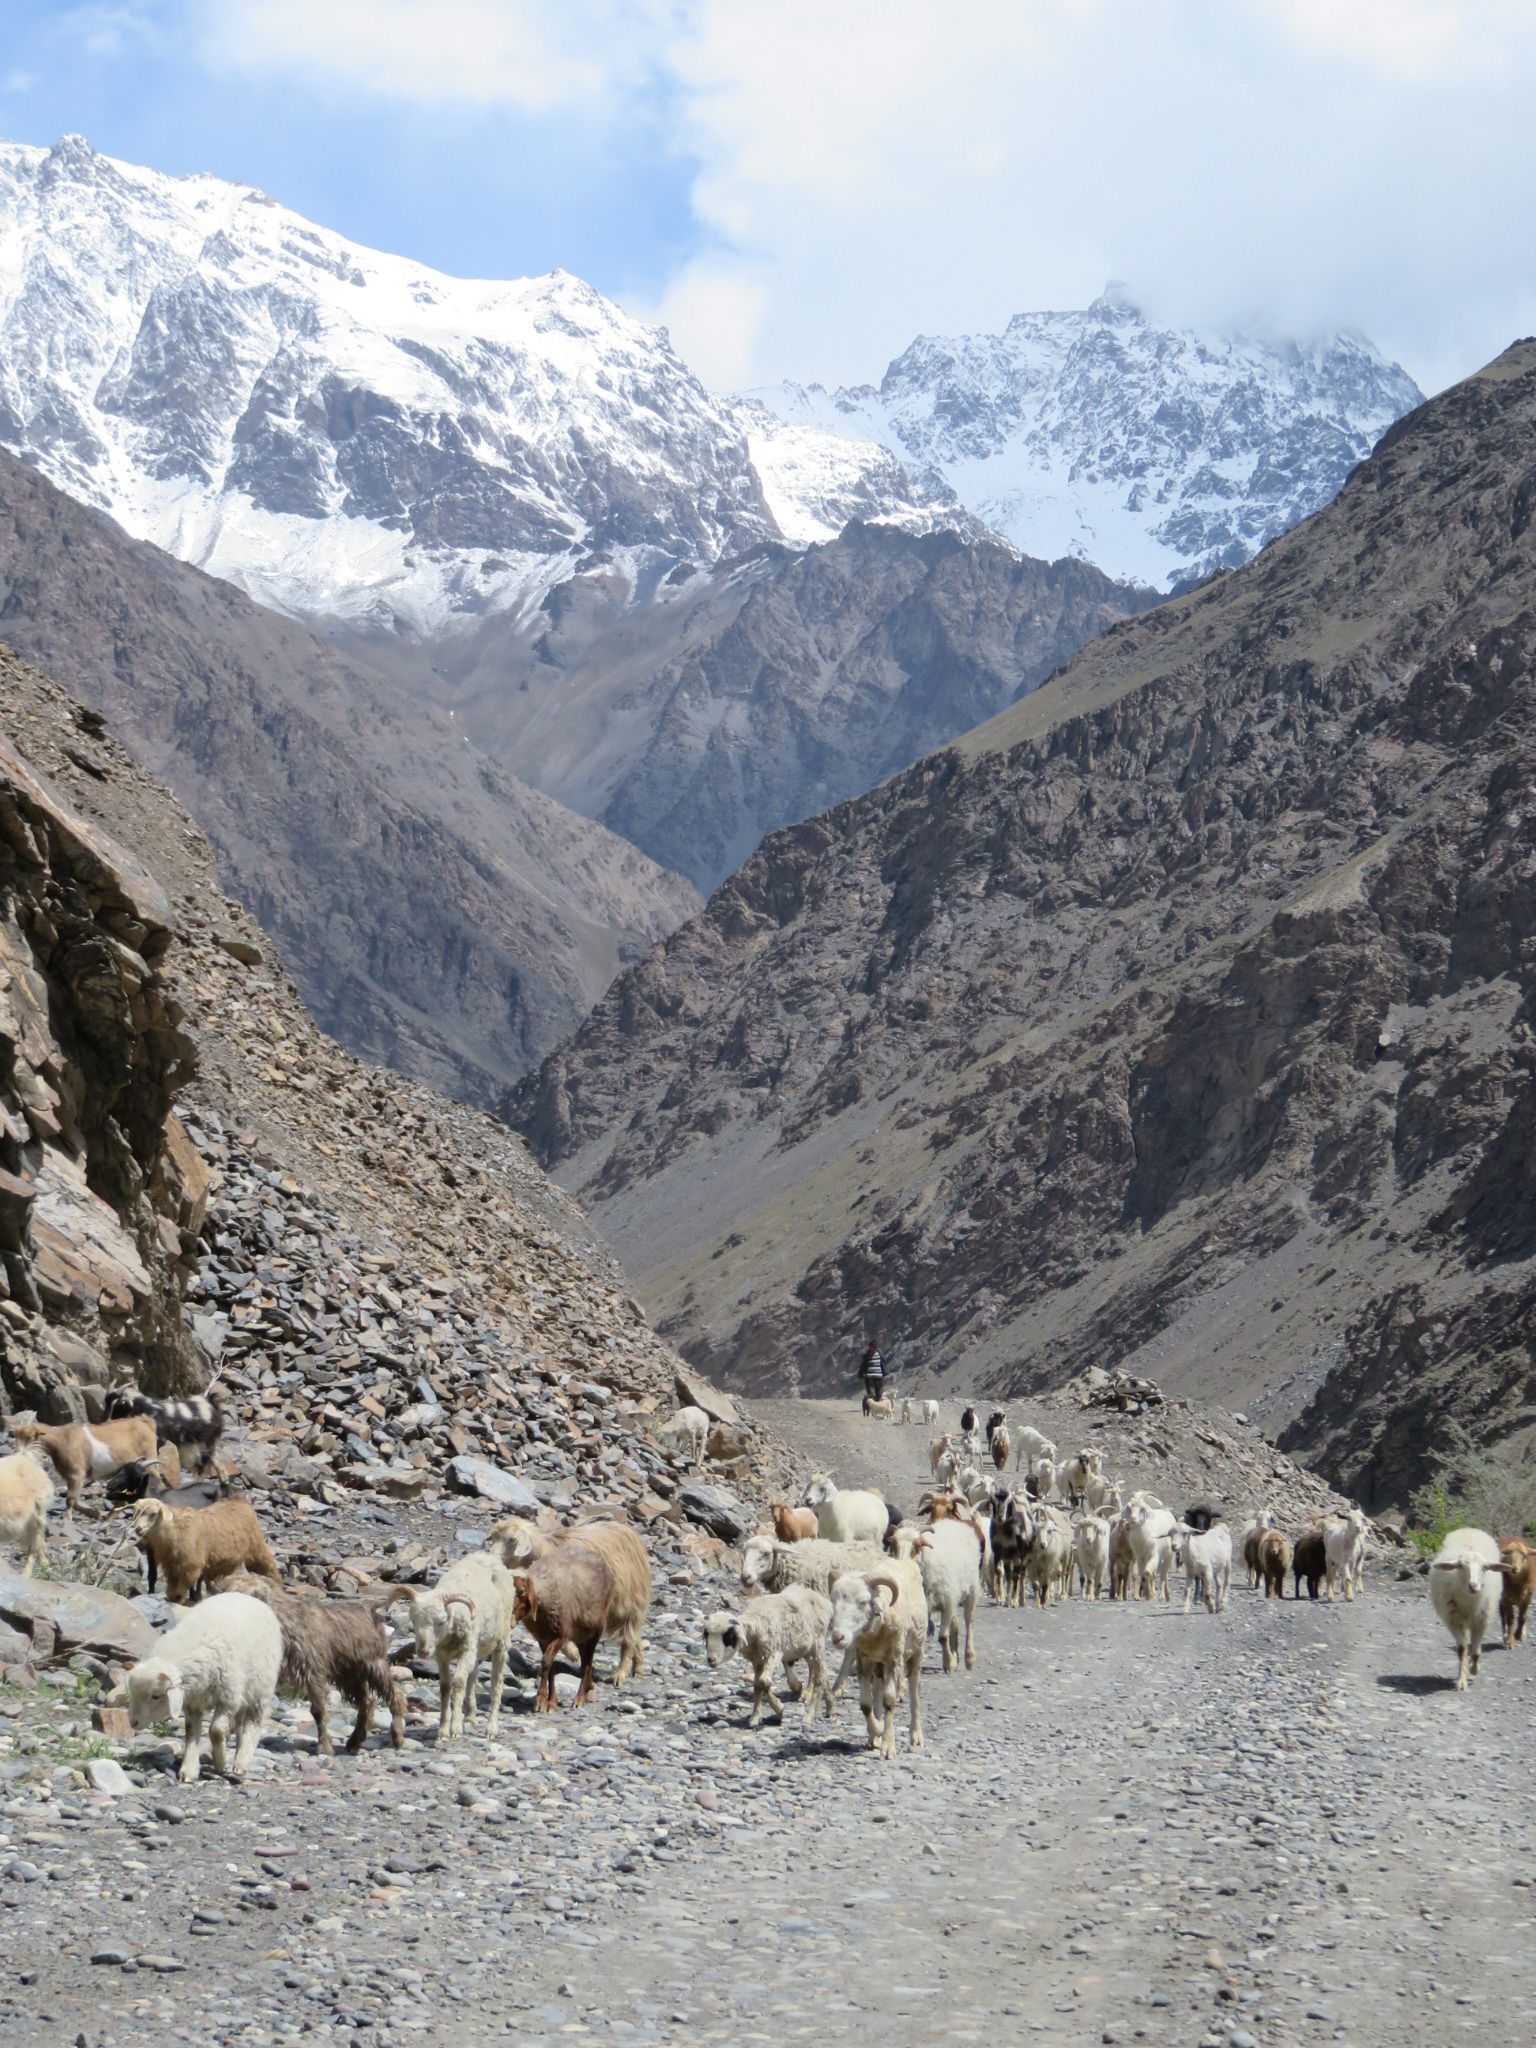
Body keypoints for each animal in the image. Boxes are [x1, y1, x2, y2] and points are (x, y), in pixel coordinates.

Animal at [123, 1581, 282, 1777]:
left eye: (156, 1696)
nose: (133, 1722)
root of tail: (249, 1597)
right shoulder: (193, 1702)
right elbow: (191, 1732)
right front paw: (189, 1769)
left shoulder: (228, 1698)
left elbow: (216, 1731)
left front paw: (220, 1761)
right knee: (240, 1724)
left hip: (261, 1685)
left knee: (254, 1722)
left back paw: (242, 1760)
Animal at [391, 1548, 518, 1744]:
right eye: (413, 1619)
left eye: (441, 1621)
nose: (422, 1651)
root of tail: (487, 1555)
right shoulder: (442, 1656)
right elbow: (445, 1687)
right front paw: (443, 1730)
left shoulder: (466, 1650)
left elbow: (458, 1683)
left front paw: (455, 1729)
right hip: (477, 1648)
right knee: (473, 1676)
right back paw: (471, 1716)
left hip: (501, 1642)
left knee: (496, 1683)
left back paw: (491, 1728)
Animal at [704, 1581, 835, 1728]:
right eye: (706, 1635)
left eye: (728, 1636)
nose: (711, 1660)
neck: (757, 1622)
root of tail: (822, 1600)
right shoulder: (757, 1659)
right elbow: (757, 1685)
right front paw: (755, 1718)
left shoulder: (774, 1652)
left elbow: (764, 1681)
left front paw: (779, 1708)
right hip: (806, 1648)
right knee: (822, 1673)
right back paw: (830, 1706)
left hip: (817, 1644)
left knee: (820, 1677)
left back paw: (810, 1715)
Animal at [1433, 1531, 1507, 1687]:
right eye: (1460, 1566)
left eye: (1485, 1567)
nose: (1473, 1586)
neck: (1468, 1602)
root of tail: (1469, 1529)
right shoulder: (1453, 1622)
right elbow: (1462, 1649)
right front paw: (1461, 1680)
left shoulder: (1481, 1622)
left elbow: (1477, 1650)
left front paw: (1474, 1669)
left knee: (1474, 1646)